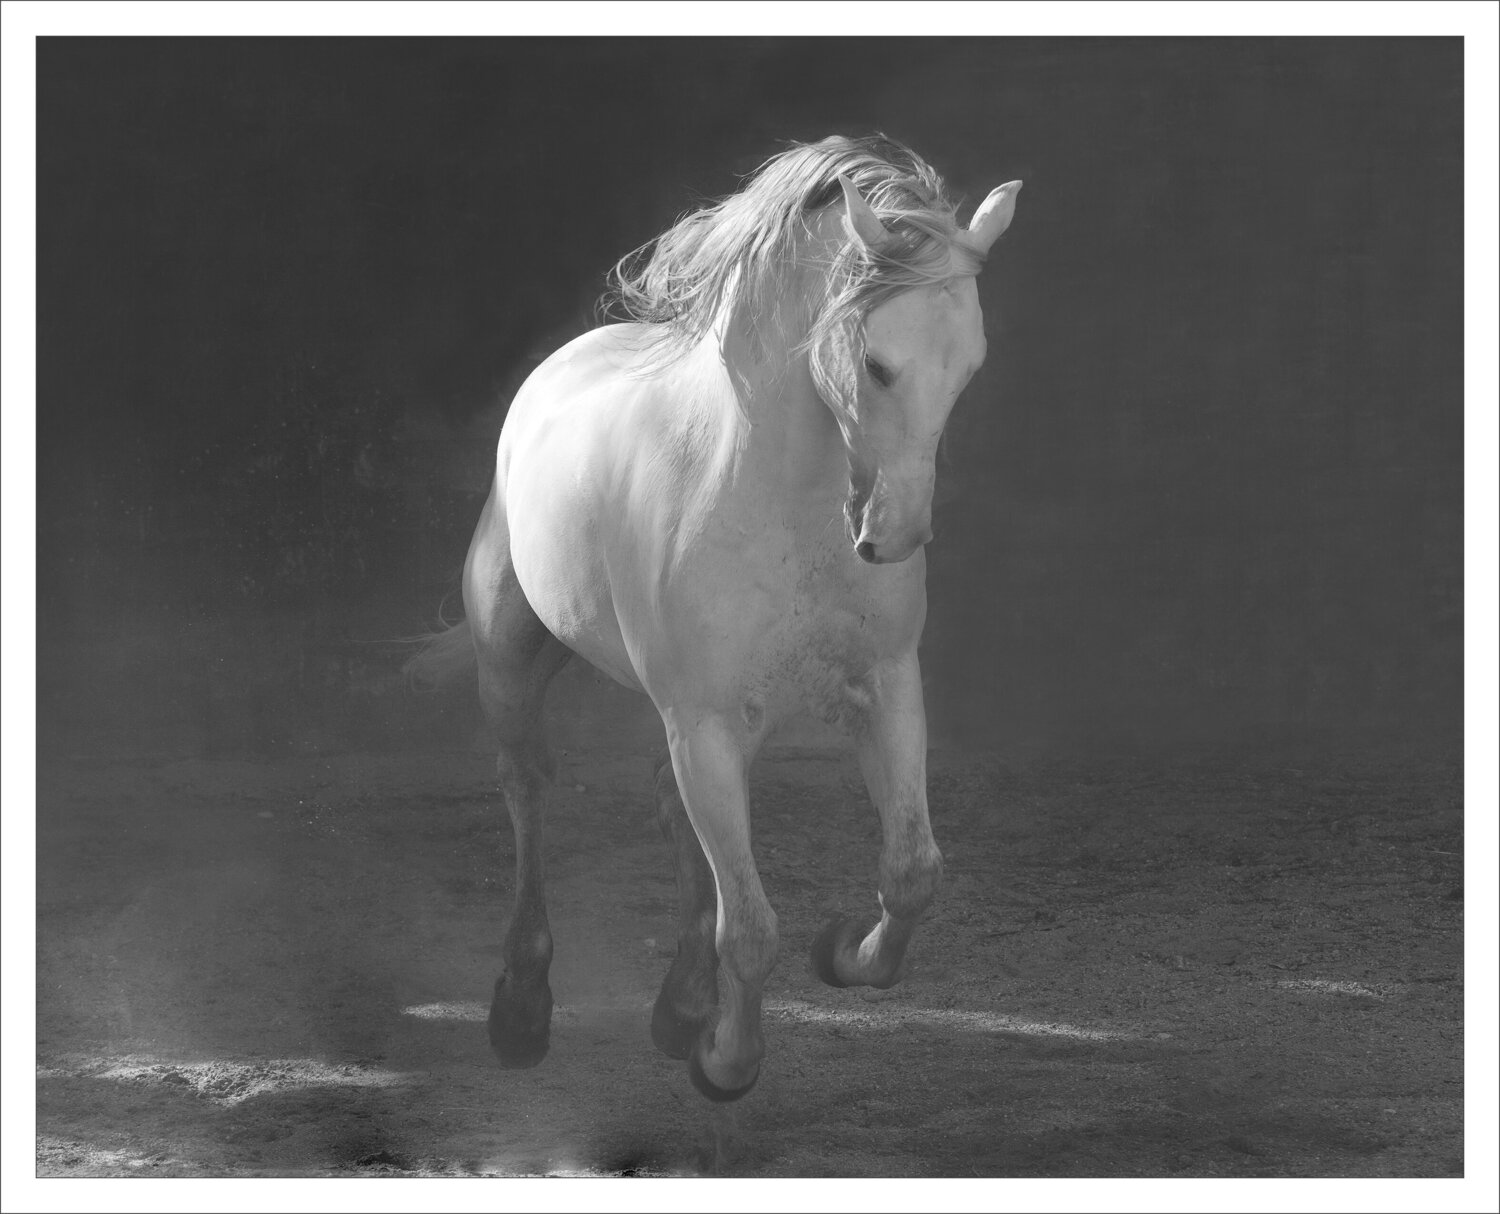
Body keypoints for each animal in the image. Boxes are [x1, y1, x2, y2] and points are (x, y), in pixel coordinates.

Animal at [408, 135, 1020, 1104]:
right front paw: (727, 1063)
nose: (893, 537)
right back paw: (523, 1009)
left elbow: (912, 873)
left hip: (724, 722)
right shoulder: (702, 719)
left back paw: (678, 1006)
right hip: (515, 666)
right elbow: (754, 929)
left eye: (969, 366)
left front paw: (840, 957)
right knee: (526, 789)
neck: (774, 496)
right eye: (879, 365)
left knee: (670, 810)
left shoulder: (882, 688)